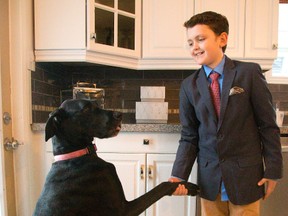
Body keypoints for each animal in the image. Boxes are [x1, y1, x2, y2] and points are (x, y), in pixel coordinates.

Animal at [32, 99, 198, 216]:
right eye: (86, 109)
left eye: (96, 103)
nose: (120, 115)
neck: (76, 155)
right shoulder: (123, 209)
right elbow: (162, 186)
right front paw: (190, 186)